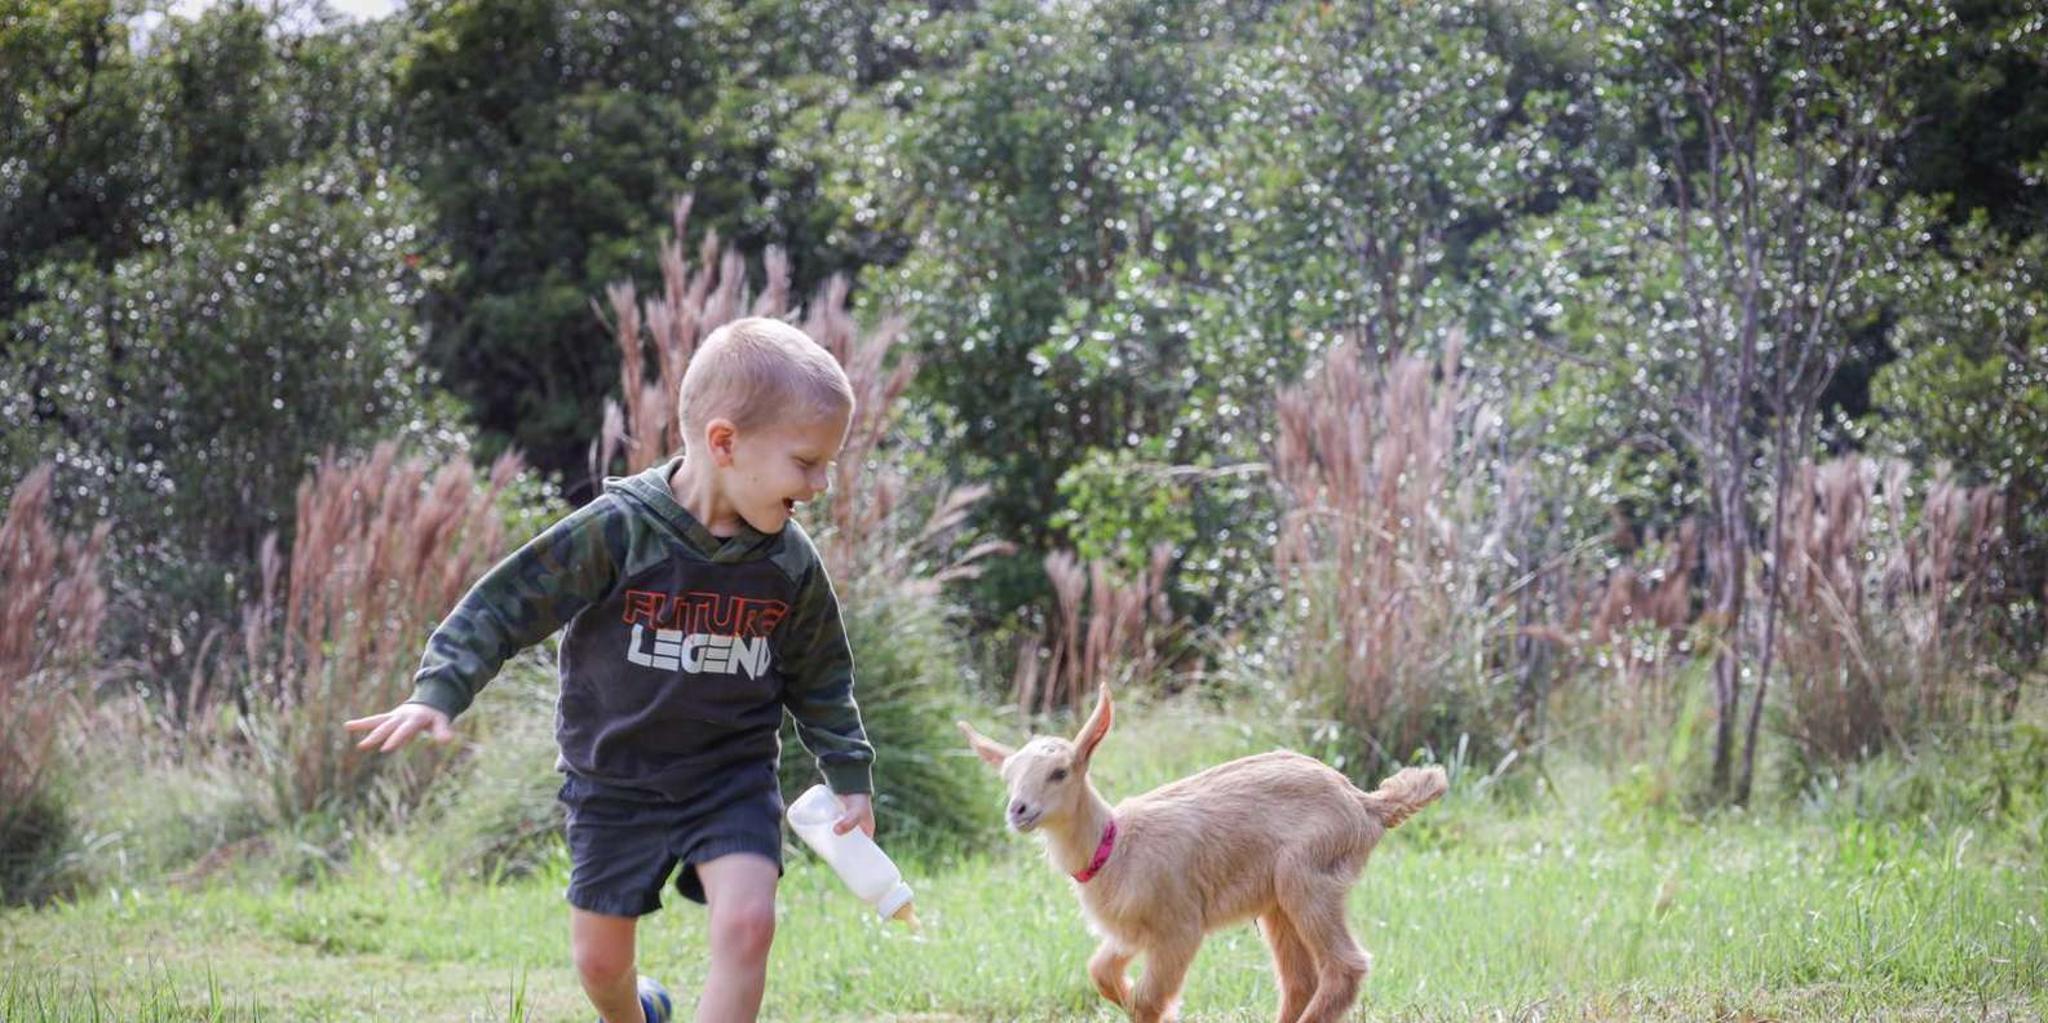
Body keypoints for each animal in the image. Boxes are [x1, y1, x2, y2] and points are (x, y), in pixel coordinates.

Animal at [958, 684, 1446, 1023]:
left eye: (1060, 772)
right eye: (1007, 778)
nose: (1018, 810)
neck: (1114, 846)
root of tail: (1366, 805)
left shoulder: (1179, 927)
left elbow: (1147, 1000)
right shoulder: (1130, 933)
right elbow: (1101, 972)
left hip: (1309, 877)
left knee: (1344, 967)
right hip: (1278, 901)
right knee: (1299, 980)